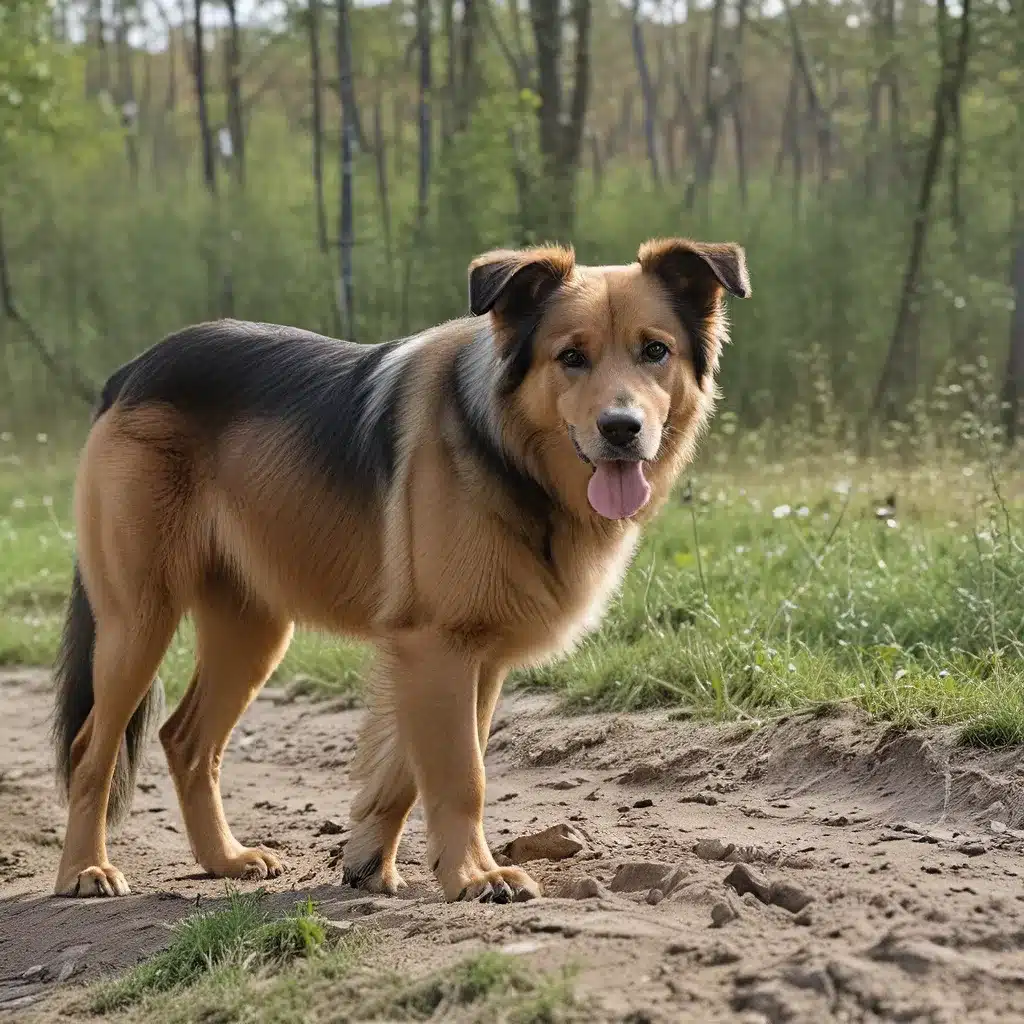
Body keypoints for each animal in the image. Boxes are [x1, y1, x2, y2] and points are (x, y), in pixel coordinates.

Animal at [51, 239, 749, 905]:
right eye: (571, 357)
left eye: (655, 351)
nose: (622, 429)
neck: (506, 449)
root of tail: (130, 372)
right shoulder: (440, 645)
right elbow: (462, 775)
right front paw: (473, 877)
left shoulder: (470, 658)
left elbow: (411, 772)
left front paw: (371, 863)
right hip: (138, 622)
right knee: (92, 750)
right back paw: (85, 869)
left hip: (251, 632)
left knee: (187, 740)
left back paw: (222, 858)